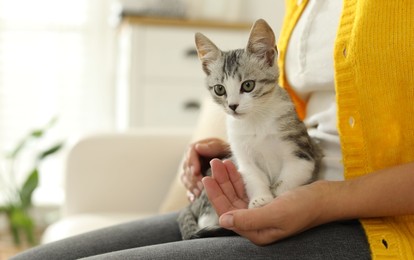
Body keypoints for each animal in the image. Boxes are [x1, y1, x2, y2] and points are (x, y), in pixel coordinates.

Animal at [176, 19, 322, 241]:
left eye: (248, 85)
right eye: (220, 89)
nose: (233, 106)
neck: (256, 120)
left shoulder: (302, 153)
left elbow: (289, 177)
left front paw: (277, 197)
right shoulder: (242, 157)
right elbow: (253, 177)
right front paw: (260, 199)